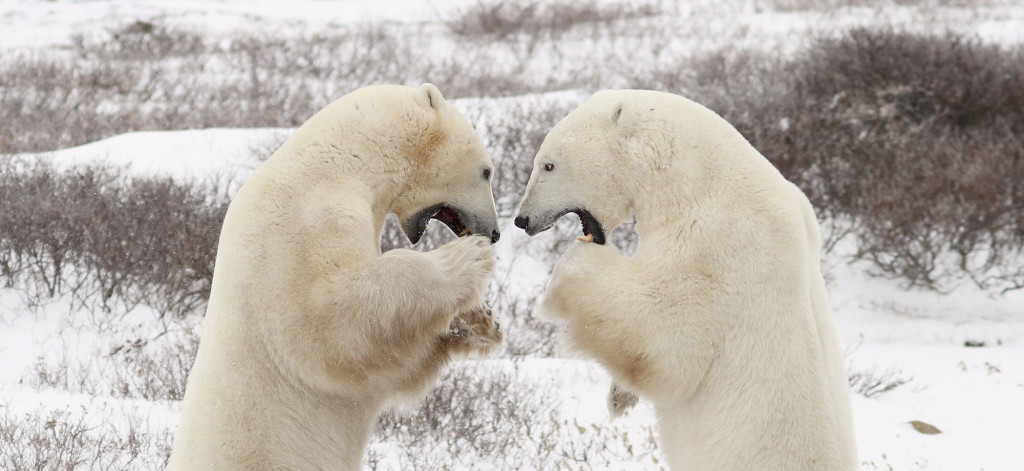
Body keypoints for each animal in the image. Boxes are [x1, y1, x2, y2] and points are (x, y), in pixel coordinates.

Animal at [169, 84, 503, 471]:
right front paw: (466, 259)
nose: (494, 233)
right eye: (486, 171)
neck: (342, 163)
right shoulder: (309, 220)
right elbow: (329, 323)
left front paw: (481, 322)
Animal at [514, 89, 857, 470]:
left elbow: (665, 338)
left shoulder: (715, 245)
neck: (694, 179)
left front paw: (565, 276)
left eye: (548, 164)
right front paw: (619, 397)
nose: (522, 219)